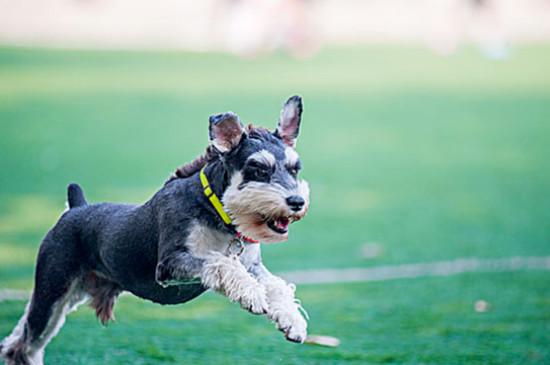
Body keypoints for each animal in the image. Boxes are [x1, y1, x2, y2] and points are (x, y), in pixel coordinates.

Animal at [0, 95, 310, 362]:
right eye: (258, 168)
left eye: (295, 168)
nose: (297, 202)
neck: (218, 212)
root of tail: (76, 208)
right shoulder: (170, 265)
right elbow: (219, 263)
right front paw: (251, 294)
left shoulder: (252, 265)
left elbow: (276, 284)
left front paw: (291, 320)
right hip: (51, 293)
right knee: (22, 344)